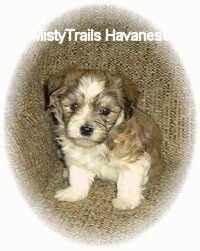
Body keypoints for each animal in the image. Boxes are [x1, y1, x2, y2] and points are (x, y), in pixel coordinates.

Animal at [44, 66, 164, 210]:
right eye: (74, 106)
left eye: (105, 111)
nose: (86, 129)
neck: (98, 144)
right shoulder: (77, 156)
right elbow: (78, 176)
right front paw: (74, 193)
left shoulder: (133, 158)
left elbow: (128, 180)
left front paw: (126, 201)